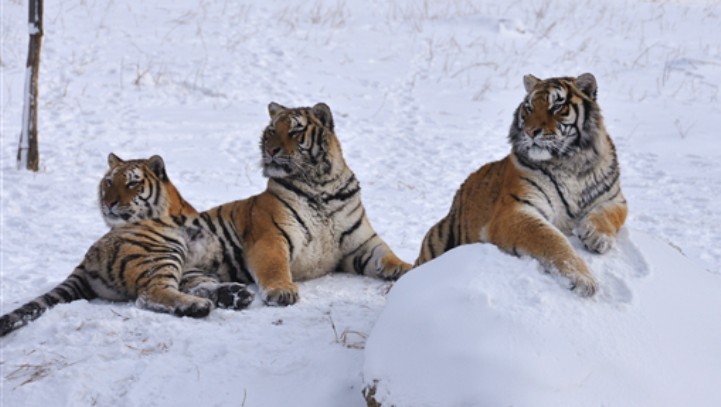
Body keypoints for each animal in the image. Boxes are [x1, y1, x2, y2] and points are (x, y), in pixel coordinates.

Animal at [0, 102, 408, 338]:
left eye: (293, 130)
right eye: (270, 131)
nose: (272, 150)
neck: (322, 184)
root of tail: (89, 254)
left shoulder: (359, 244)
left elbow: (389, 257)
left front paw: (410, 269)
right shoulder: (270, 239)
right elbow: (275, 267)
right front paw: (282, 291)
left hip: (191, 268)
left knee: (185, 287)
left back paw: (233, 295)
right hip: (163, 249)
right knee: (149, 295)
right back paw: (199, 307)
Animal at [414, 73, 628, 296]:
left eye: (556, 106)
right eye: (529, 107)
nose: (530, 131)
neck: (571, 164)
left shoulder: (616, 198)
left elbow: (608, 215)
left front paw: (597, 237)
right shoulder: (516, 210)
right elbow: (551, 238)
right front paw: (582, 278)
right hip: (437, 238)